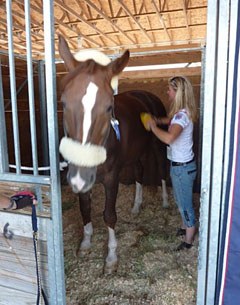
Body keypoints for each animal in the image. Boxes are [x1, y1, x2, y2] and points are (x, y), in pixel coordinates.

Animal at [58, 35, 169, 274]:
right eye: (63, 102)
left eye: (109, 107)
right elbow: (85, 208)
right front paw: (85, 243)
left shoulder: (111, 177)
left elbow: (109, 215)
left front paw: (110, 257)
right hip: (137, 153)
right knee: (139, 173)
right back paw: (136, 206)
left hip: (157, 144)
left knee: (162, 169)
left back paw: (165, 201)